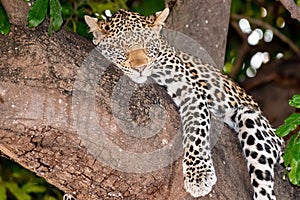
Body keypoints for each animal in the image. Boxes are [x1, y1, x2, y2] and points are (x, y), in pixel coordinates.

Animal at [84, 8, 284, 200]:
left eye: (147, 45)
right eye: (120, 49)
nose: (140, 68)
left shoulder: (190, 89)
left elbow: (197, 132)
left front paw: (199, 176)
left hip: (253, 120)